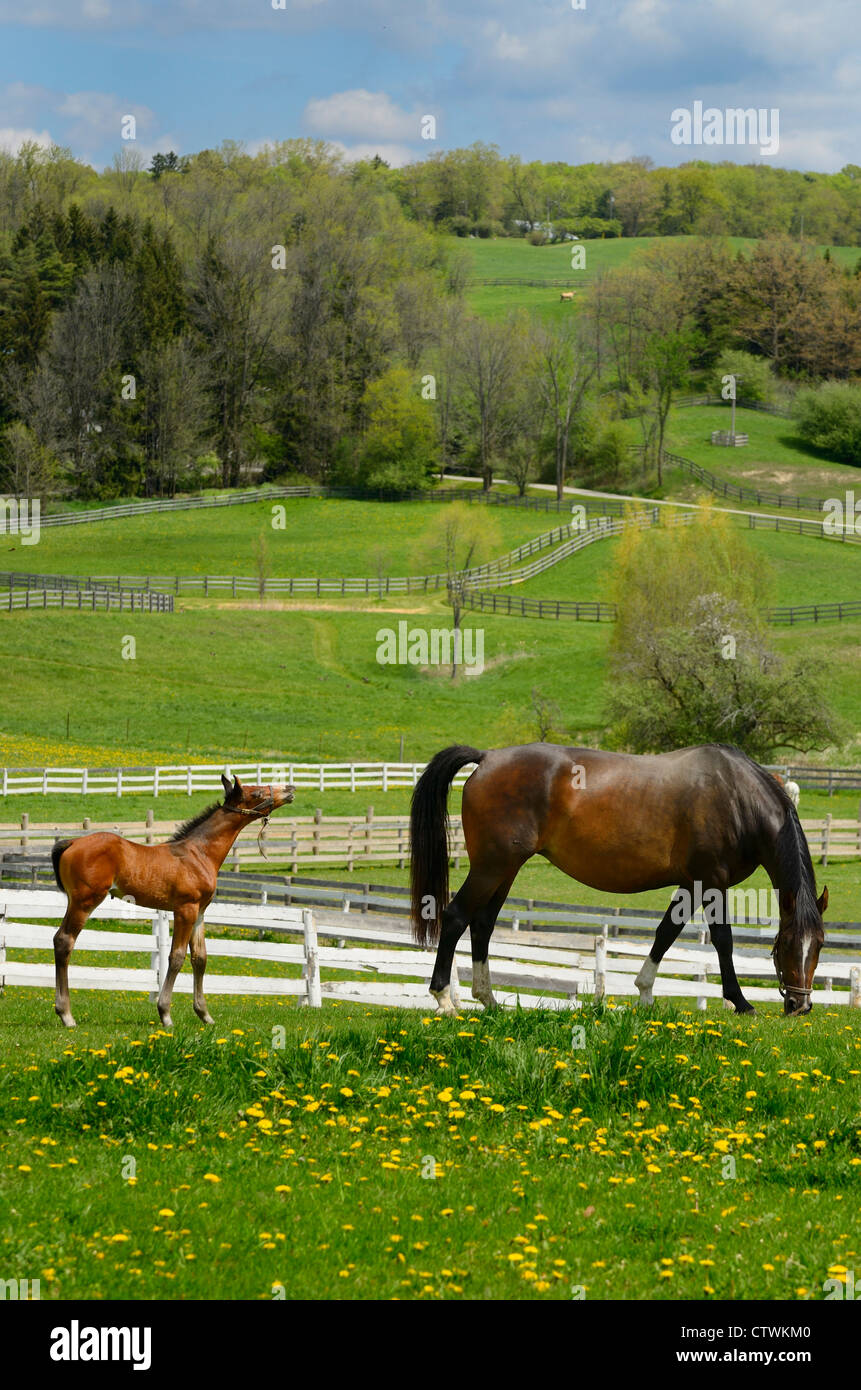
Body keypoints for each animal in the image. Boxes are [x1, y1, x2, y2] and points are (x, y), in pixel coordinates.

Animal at [53, 778, 296, 1028]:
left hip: (74, 902)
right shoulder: (185, 910)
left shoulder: (200, 912)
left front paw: (204, 1014)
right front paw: (165, 1014)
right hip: (84, 902)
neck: (199, 853)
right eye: (256, 793)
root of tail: (71, 842)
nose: (290, 789)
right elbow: (177, 957)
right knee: (64, 941)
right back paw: (66, 1014)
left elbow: (200, 958)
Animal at [411, 745, 829, 1017]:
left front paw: (644, 993)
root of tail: (488, 758)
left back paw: (489, 1000)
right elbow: (723, 941)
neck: (736, 796)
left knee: (482, 924)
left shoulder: (690, 884)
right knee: (455, 917)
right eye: (787, 943)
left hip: (505, 869)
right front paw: (740, 1002)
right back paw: (444, 999)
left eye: (820, 945)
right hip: (491, 867)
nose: (800, 1005)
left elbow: (666, 932)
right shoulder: (711, 881)